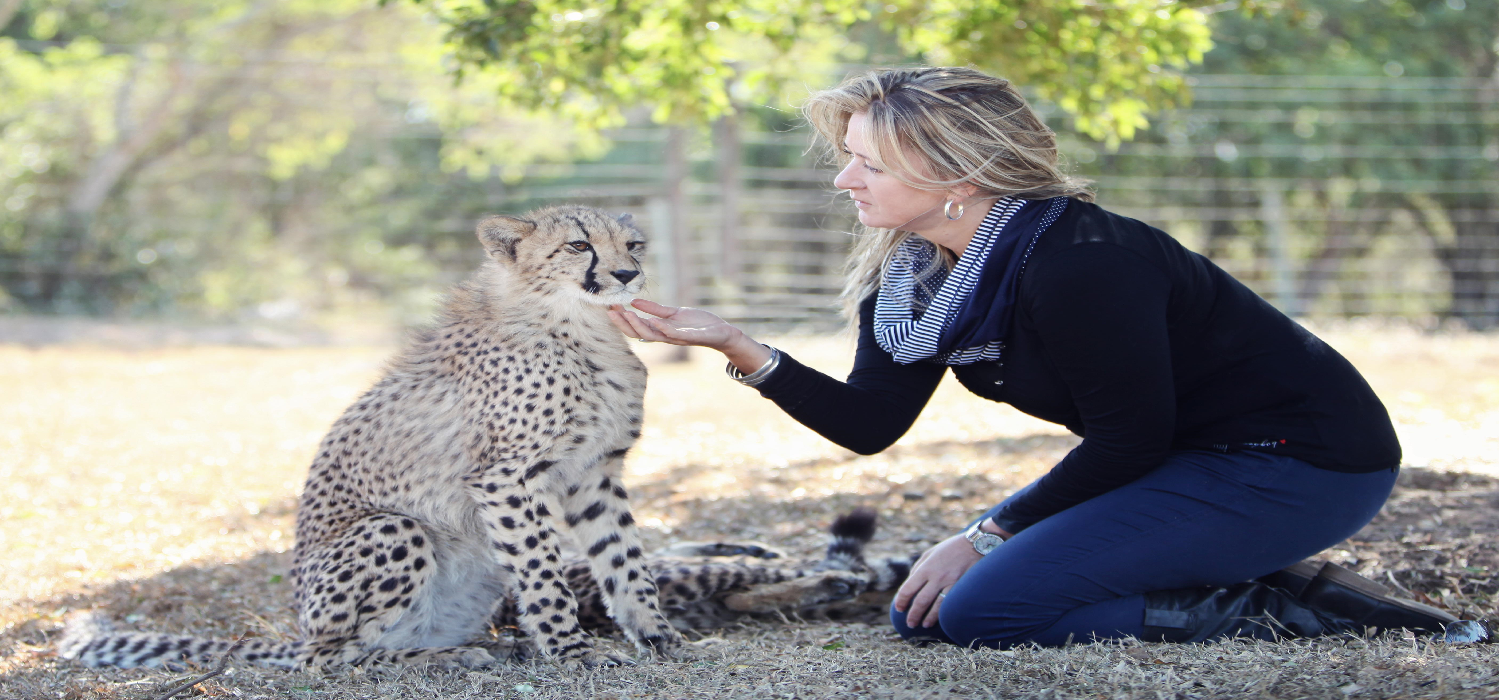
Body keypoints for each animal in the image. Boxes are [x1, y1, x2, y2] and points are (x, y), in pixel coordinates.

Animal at [60, 205, 677, 671]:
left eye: (634, 245)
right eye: (578, 245)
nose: (627, 275)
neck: (584, 330)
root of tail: (299, 630)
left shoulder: (594, 473)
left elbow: (624, 560)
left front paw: (659, 636)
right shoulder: (505, 478)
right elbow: (545, 573)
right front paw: (572, 649)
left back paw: (479, 646)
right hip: (392, 531)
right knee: (335, 657)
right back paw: (446, 659)